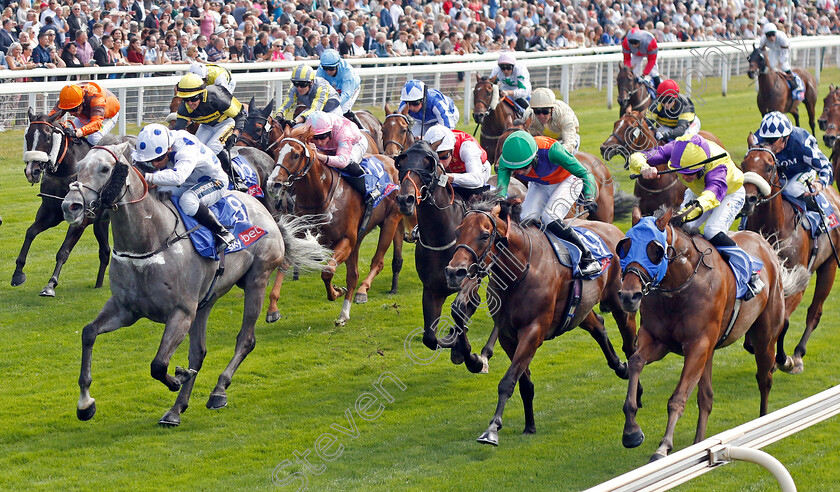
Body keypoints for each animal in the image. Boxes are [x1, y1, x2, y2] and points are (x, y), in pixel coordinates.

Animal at [62, 142, 330, 426]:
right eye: (79, 167)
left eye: (104, 168)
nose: (71, 206)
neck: (151, 242)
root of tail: (265, 211)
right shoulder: (126, 309)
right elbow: (89, 332)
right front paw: (85, 404)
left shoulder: (181, 312)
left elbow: (159, 364)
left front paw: (177, 378)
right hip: (205, 302)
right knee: (198, 353)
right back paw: (175, 410)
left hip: (256, 279)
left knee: (245, 340)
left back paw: (218, 391)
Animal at [266, 124, 404, 326]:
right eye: (276, 152)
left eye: (296, 155)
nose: (273, 184)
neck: (319, 196)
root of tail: (390, 160)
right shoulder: (300, 236)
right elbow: (284, 263)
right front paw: (272, 309)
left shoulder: (345, 239)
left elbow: (327, 271)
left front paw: (336, 292)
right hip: (358, 239)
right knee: (353, 275)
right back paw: (344, 313)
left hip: (390, 221)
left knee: (377, 263)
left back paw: (362, 292)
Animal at [446, 199, 636, 446]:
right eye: (458, 232)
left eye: (484, 235)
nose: (454, 272)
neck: (520, 272)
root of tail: (614, 229)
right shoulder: (508, 336)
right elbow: (523, 383)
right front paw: (529, 426)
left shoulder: (533, 331)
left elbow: (508, 381)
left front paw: (491, 429)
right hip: (579, 309)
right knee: (599, 326)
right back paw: (620, 367)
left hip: (619, 302)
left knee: (631, 345)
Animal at [616, 207, 808, 462]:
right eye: (624, 246)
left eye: (655, 250)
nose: (629, 296)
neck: (680, 285)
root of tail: (765, 244)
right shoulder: (658, 341)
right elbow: (636, 362)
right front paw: (631, 432)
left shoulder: (697, 345)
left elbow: (678, 398)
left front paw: (663, 447)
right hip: (710, 351)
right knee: (706, 396)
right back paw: (699, 441)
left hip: (765, 334)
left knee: (764, 378)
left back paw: (763, 418)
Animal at [740, 135, 840, 372]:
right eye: (743, 164)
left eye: (769, 166)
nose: (748, 200)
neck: (774, 228)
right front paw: (756, 346)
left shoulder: (798, 282)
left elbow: (784, 321)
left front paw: (783, 359)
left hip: (829, 265)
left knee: (815, 311)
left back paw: (798, 353)